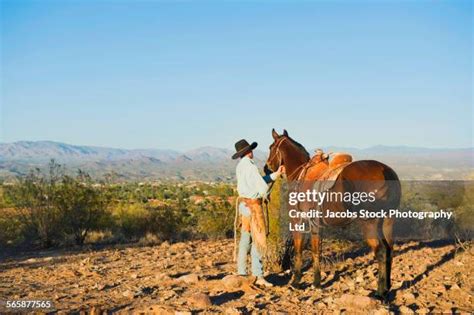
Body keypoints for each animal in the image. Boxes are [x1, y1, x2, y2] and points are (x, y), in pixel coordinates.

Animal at [264, 129, 402, 302]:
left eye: (271, 147)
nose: (266, 167)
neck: (300, 174)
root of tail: (385, 171)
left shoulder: (299, 221)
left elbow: (300, 249)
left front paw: (297, 282)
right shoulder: (316, 225)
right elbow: (316, 250)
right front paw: (316, 282)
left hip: (370, 222)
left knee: (381, 252)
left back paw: (379, 293)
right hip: (388, 221)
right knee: (389, 249)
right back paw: (388, 288)